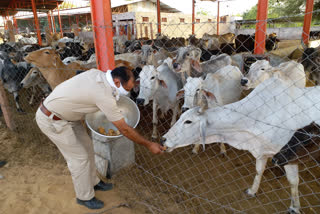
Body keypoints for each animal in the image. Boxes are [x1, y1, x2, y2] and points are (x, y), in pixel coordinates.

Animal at [162, 77, 320, 214]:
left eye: (188, 121)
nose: (163, 139)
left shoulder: (288, 155)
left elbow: (293, 181)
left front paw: (295, 207)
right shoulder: (262, 152)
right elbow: (259, 171)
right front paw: (252, 190)